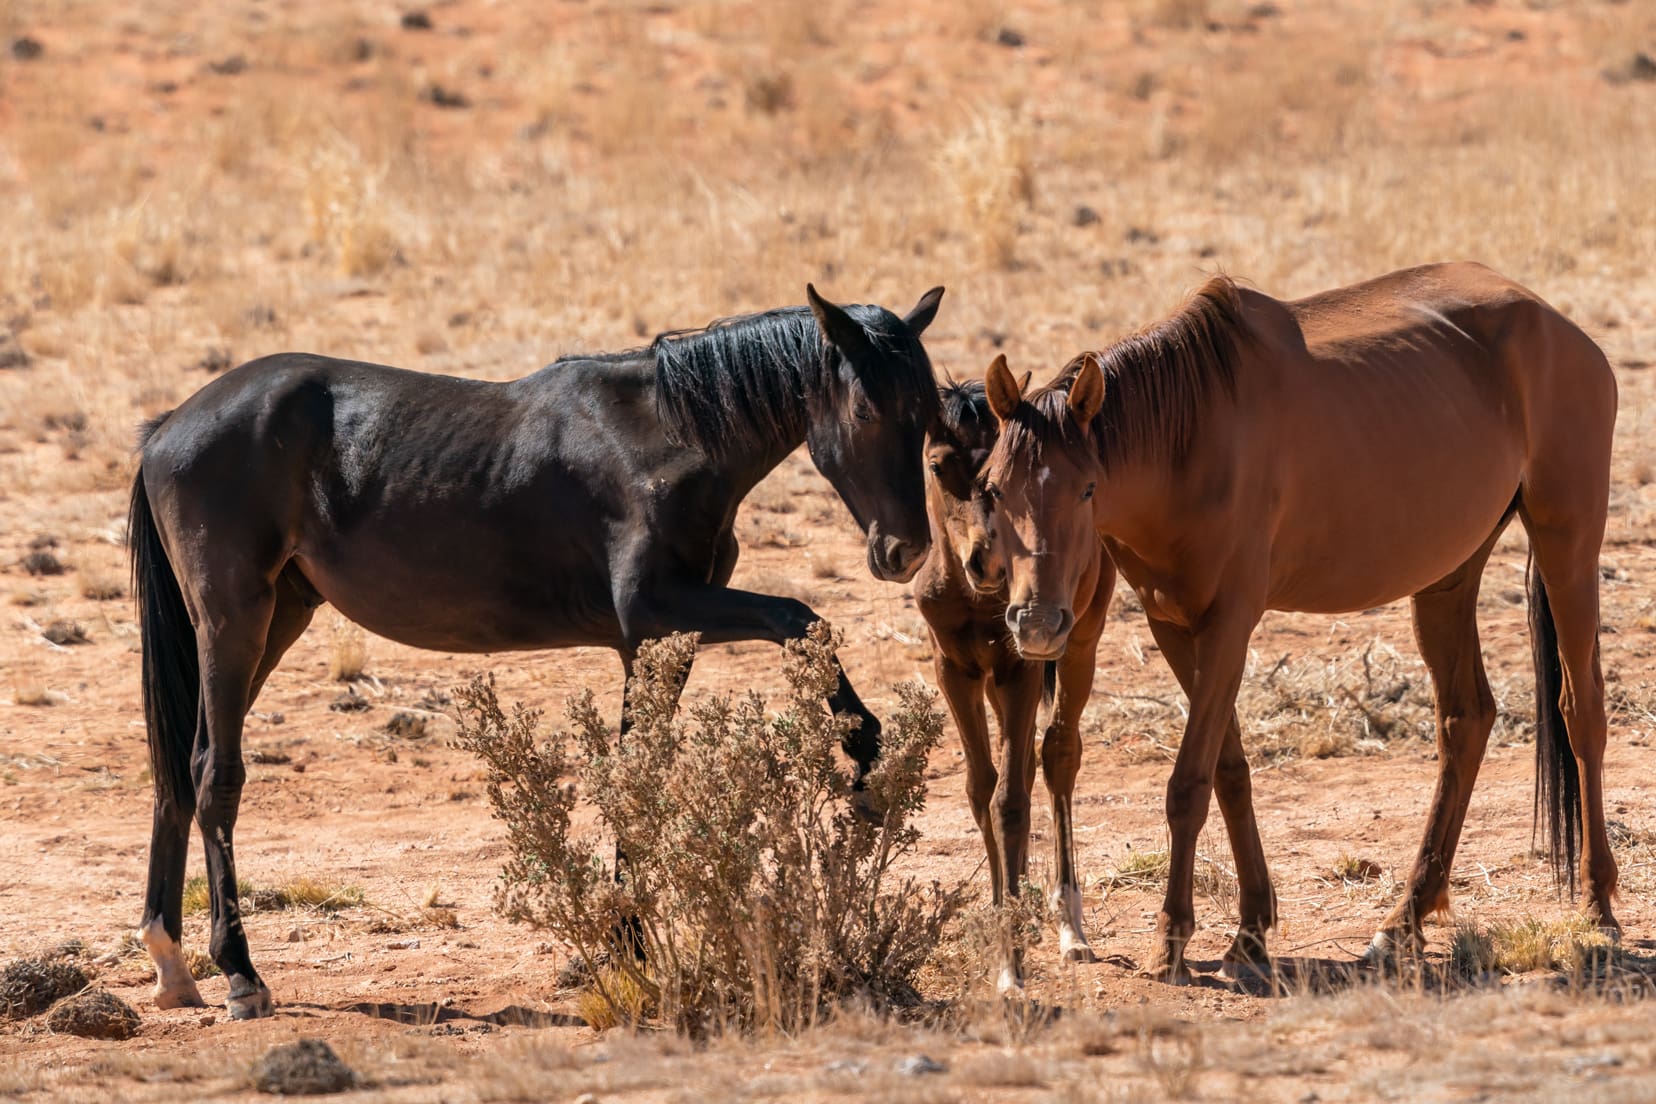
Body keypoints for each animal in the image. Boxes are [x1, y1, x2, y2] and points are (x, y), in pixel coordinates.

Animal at [129, 284, 947, 1019]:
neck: (668, 438)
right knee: (214, 774)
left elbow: (636, 770)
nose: (906, 551)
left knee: (177, 772)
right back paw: (240, 975)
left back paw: (171, 964)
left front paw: (627, 941)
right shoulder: (659, 609)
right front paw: (867, 768)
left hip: (277, 619)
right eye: (867, 410)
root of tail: (168, 427)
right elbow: (801, 618)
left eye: (931, 415)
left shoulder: (655, 640)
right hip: (235, 620)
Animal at [920, 360, 1112, 993]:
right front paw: (1002, 916)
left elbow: (1011, 797)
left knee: (1055, 758)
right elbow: (982, 790)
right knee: (1024, 764)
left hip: (1077, 645)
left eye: (989, 470)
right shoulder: (953, 669)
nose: (987, 562)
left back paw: (1069, 926)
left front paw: (1011, 965)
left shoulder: (1018, 668)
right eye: (938, 464)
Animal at [980, 263, 1616, 979]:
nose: (1036, 623)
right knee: (1467, 720)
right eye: (993, 488)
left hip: (1569, 542)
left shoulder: (1229, 623)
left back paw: (1597, 901)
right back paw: (1403, 921)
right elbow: (1228, 771)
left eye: (1087, 488)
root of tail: (1556, 323)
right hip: (1448, 577)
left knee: (1581, 709)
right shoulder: (1173, 625)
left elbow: (1188, 783)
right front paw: (1251, 927)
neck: (1191, 442)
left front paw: (1172, 937)